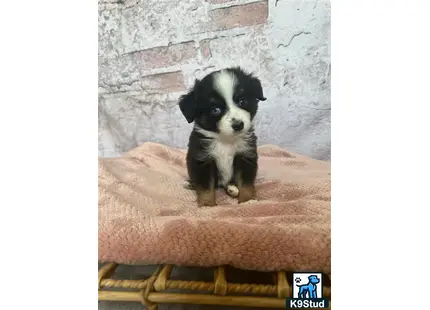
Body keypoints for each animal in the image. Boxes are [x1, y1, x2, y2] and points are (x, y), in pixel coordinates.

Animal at [178, 67, 266, 207]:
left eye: (242, 101)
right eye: (215, 110)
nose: (238, 125)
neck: (225, 140)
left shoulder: (245, 155)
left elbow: (245, 182)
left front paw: (247, 199)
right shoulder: (203, 159)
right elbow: (205, 187)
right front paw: (207, 205)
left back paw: (232, 188)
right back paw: (191, 184)